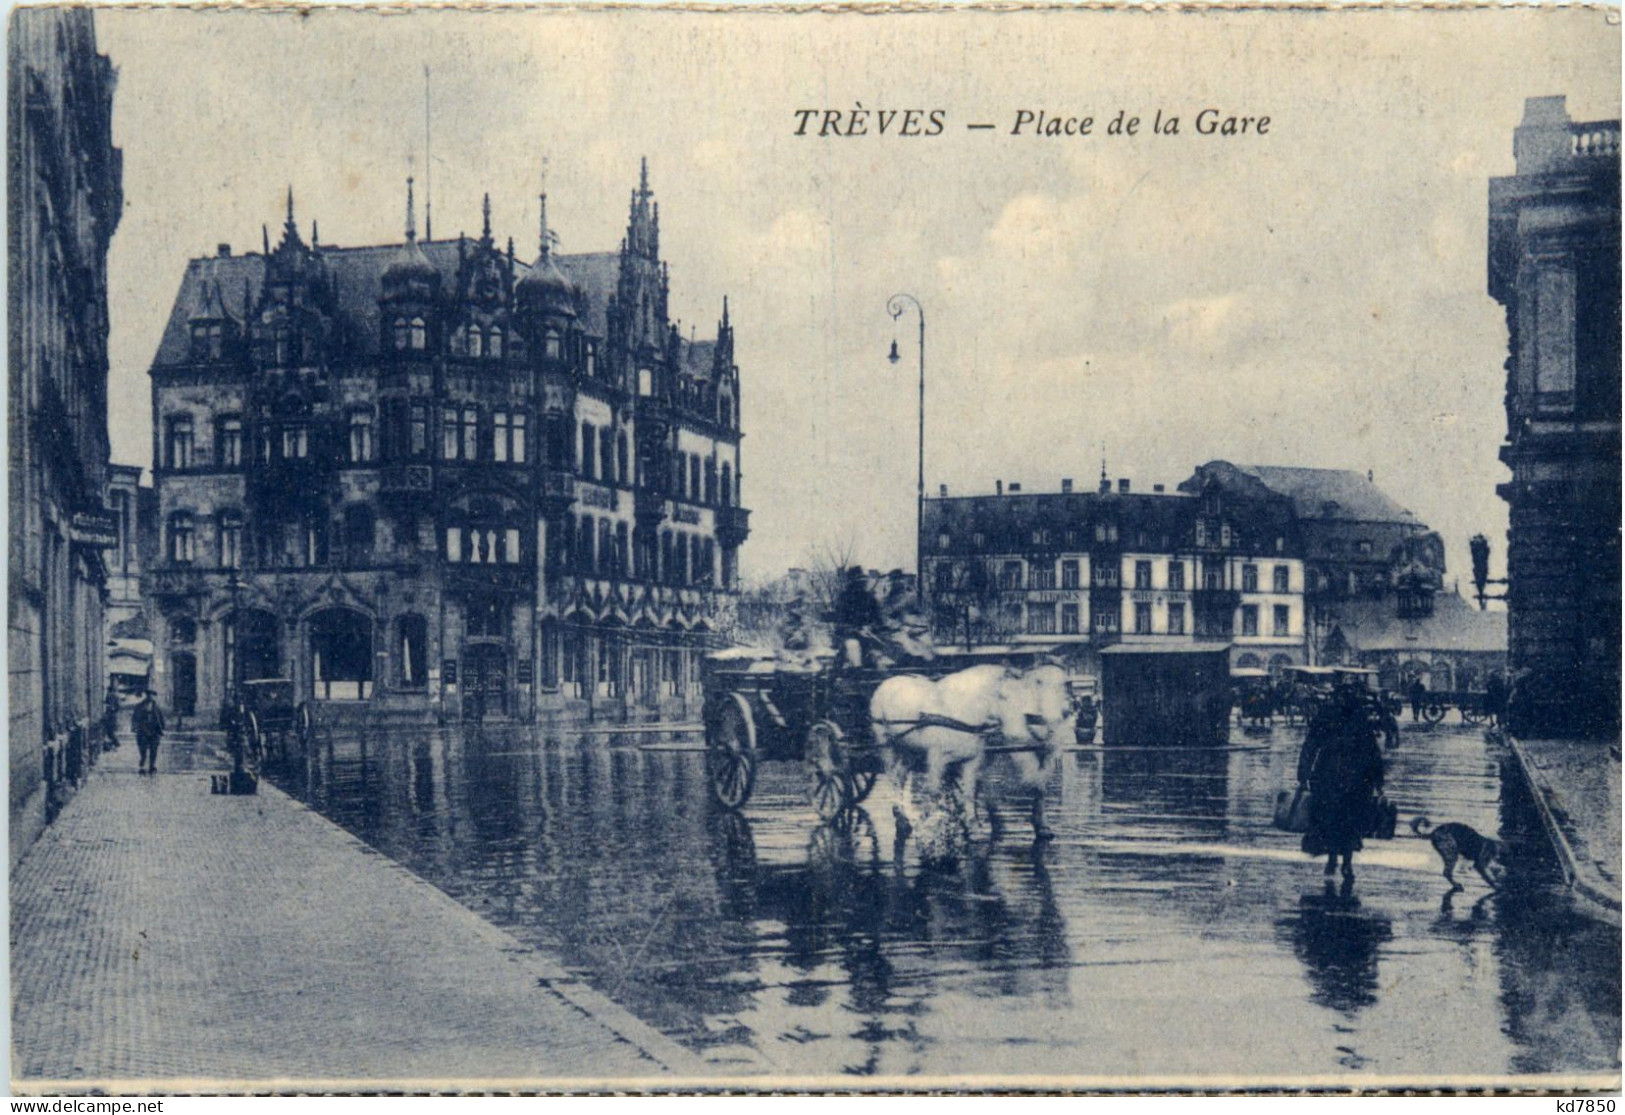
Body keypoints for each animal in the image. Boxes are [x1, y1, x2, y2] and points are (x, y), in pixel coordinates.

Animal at [871, 669, 1072, 845]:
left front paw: (973, 828)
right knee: (894, 776)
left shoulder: (971, 761)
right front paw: (929, 826)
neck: (965, 717)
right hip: (887, 746)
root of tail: (886, 683)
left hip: (910, 752)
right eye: (1010, 699)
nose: (1045, 734)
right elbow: (933, 792)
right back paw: (901, 818)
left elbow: (969, 792)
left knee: (900, 775)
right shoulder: (937, 759)